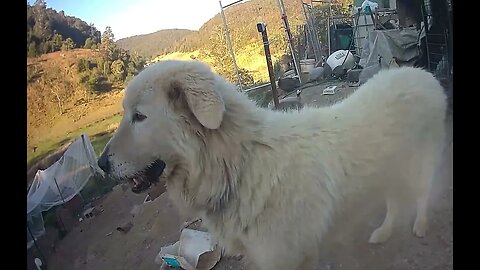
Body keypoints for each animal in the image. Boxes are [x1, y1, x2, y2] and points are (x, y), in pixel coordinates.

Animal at [96, 60, 446, 270]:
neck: (240, 166)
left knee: (422, 194)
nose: (100, 164)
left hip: (420, 163)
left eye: (139, 116)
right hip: (389, 171)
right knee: (394, 202)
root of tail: (420, 72)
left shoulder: (288, 257)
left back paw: (420, 224)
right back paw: (384, 232)